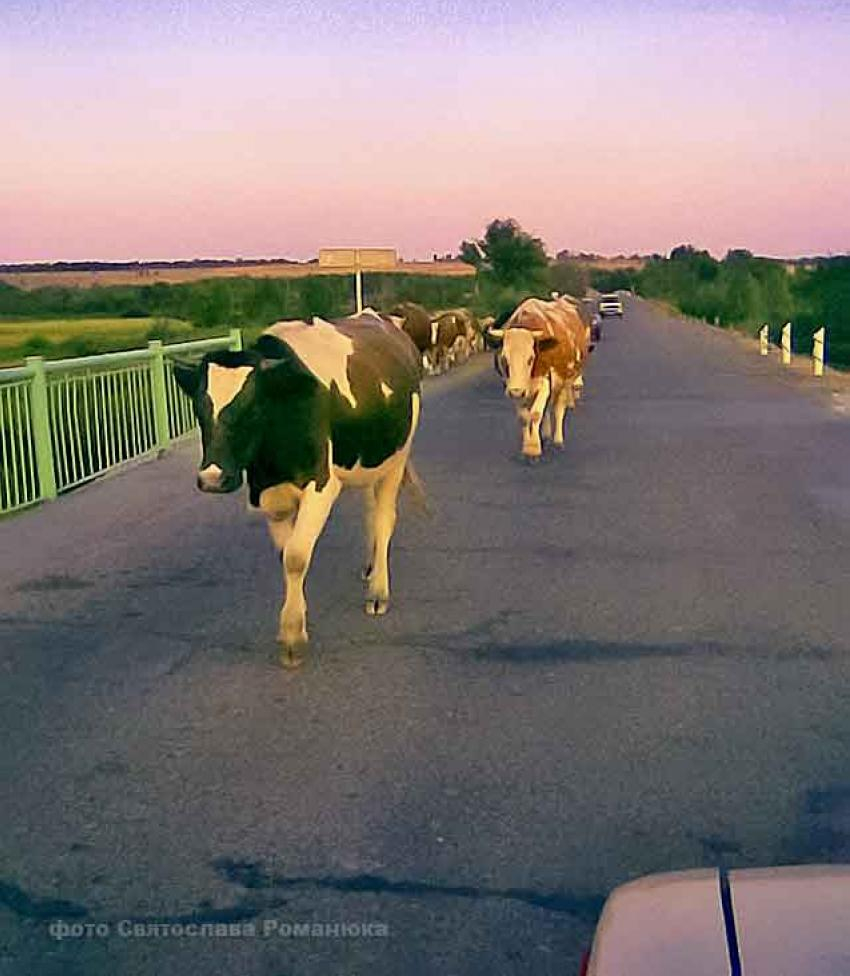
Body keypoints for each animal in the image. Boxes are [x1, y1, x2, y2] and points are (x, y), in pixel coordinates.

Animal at [173, 316, 424, 668]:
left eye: (252, 408)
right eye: (199, 410)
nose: (212, 478)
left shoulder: (321, 488)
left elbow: (295, 556)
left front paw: (293, 636)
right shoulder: (268, 494)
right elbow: (287, 555)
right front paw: (297, 620)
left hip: (397, 459)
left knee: (385, 519)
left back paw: (378, 591)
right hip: (369, 462)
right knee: (370, 513)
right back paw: (370, 566)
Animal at [484, 296, 588, 460]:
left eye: (531, 358)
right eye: (504, 358)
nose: (516, 391)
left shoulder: (544, 382)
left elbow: (536, 414)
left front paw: (533, 450)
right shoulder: (513, 387)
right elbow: (524, 417)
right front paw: (528, 447)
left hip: (565, 379)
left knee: (558, 407)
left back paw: (558, 440)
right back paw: (545, 435)